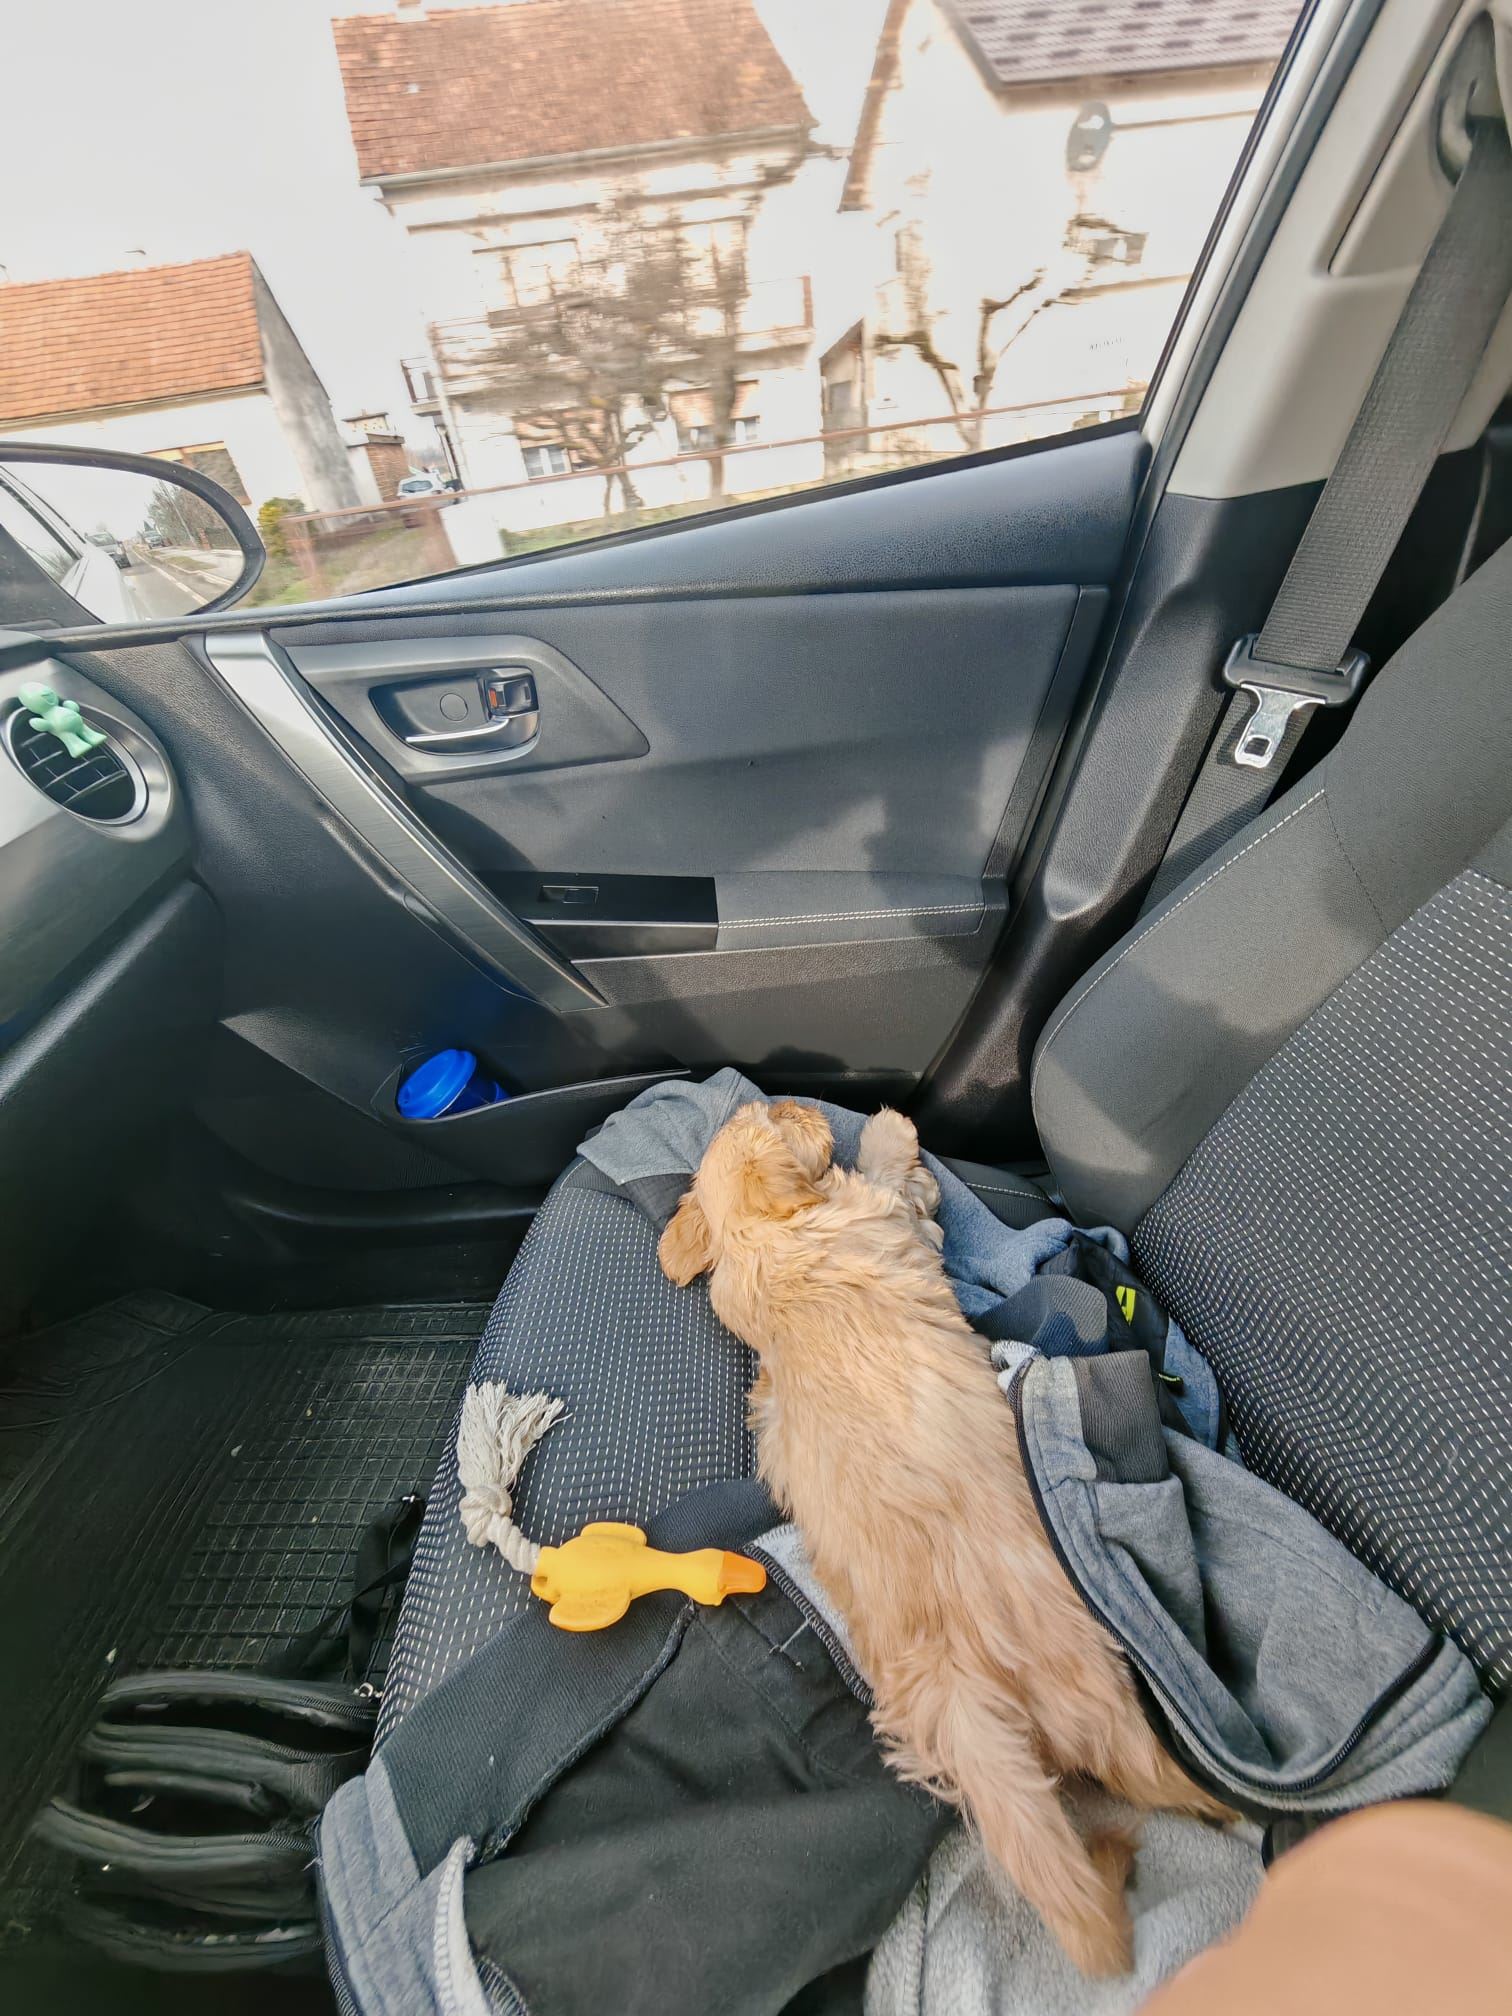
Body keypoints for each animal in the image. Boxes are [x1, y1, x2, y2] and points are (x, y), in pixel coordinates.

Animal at [659, 1099, 1231, 1976]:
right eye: (778, 1117)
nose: (799, 1101)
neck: (768, 1243)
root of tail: (961, 1692)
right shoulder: (893, 1214)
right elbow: (898, 1176)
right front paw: (890, 1129)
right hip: (1097, 1666)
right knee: (1144, 1770)